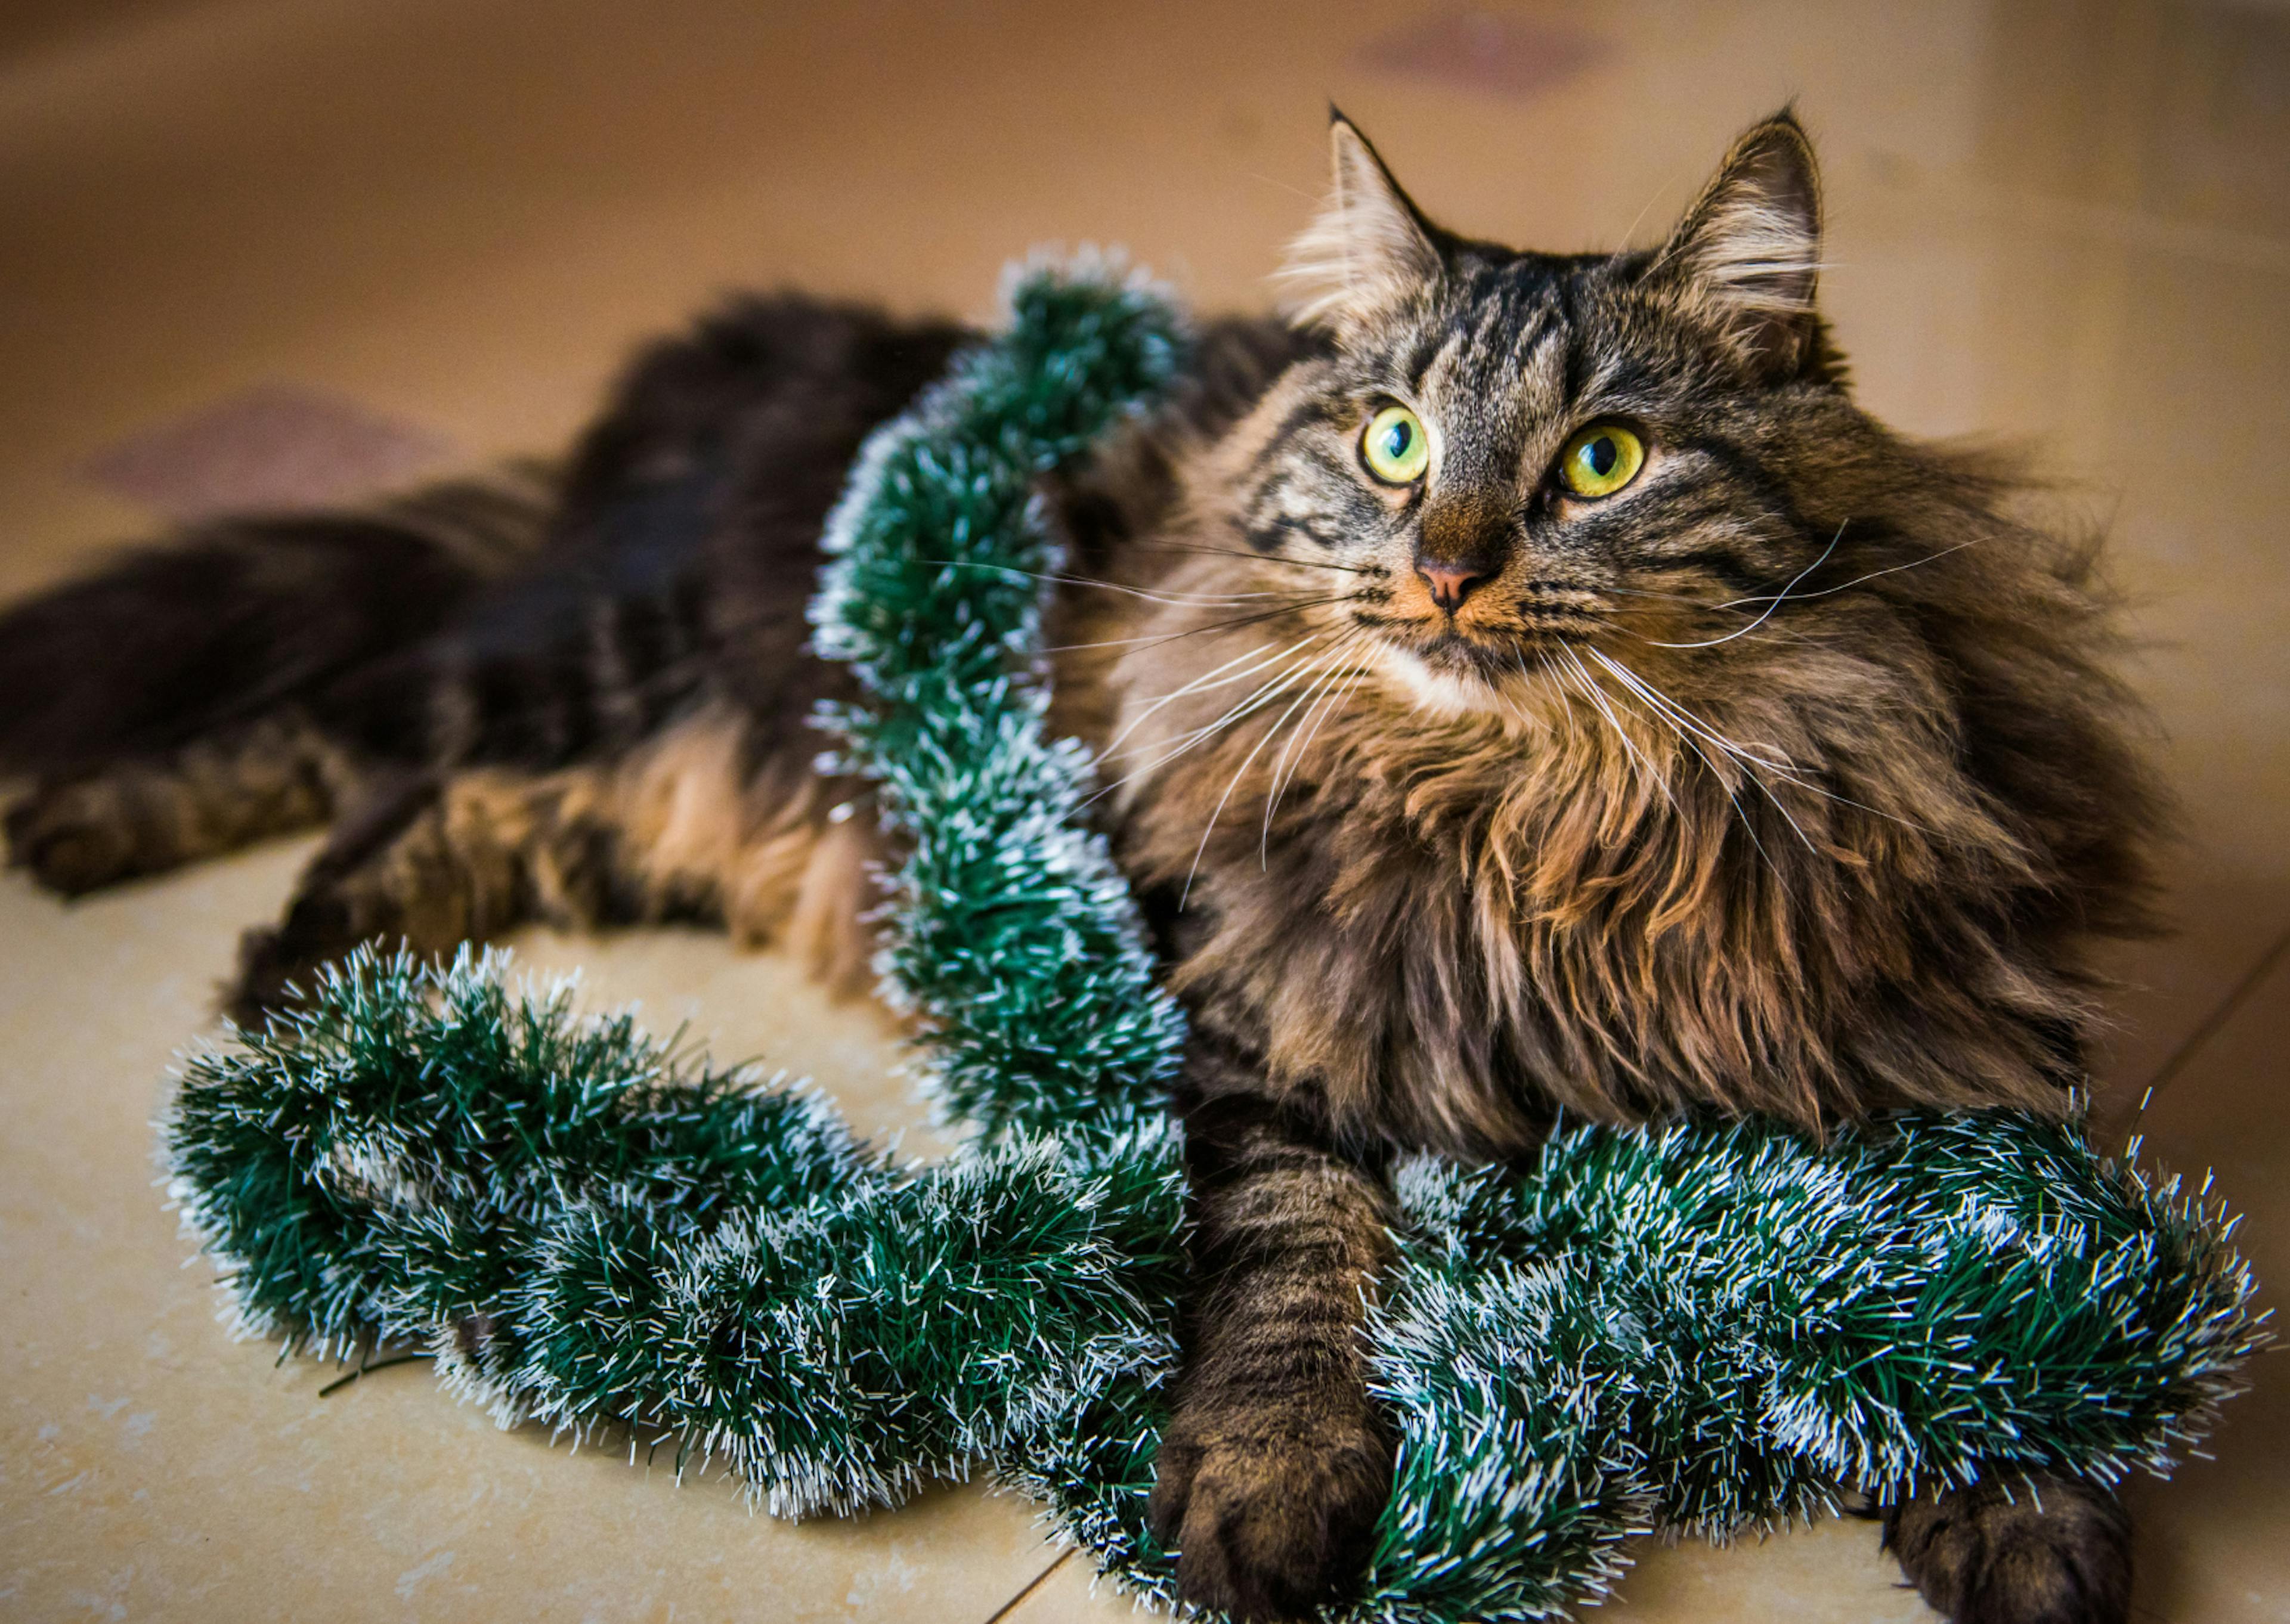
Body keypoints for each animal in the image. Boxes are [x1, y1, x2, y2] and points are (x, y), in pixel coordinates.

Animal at [0, 114, 2152, 1622]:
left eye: (1602, 462)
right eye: (1392, 444)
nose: (1447, 565)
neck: (1547, 813)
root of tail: (800, 355)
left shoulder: (1912, 1028)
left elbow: (2001, 1263)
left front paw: (2031, 1499)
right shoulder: (1255, 1011)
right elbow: (1296, 1253)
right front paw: (1269, 1488)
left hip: (694, 778)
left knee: (463, 783)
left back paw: (277, 939)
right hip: (610, 656)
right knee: (363, 726)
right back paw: (181, 894)